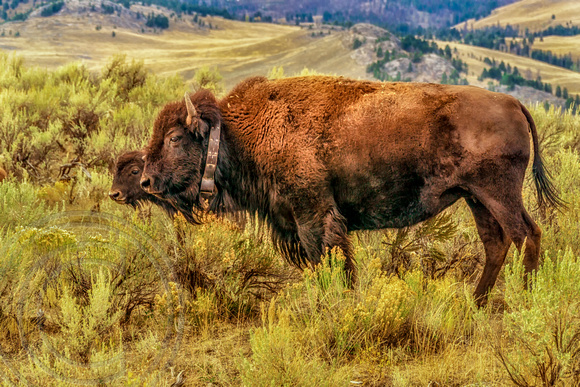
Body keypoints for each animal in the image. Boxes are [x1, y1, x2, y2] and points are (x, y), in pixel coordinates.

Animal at [139, 76, 560, 306]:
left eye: (175, 137)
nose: (146, 181)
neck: (239, 131)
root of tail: (513, 102)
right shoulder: (295, 223)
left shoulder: (313, 217)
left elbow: (331, 262)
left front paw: (337, 302)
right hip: (476, 198)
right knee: (496, 242)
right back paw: (476, 303)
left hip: (498, 192)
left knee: (525, 234)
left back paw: (524, 299)